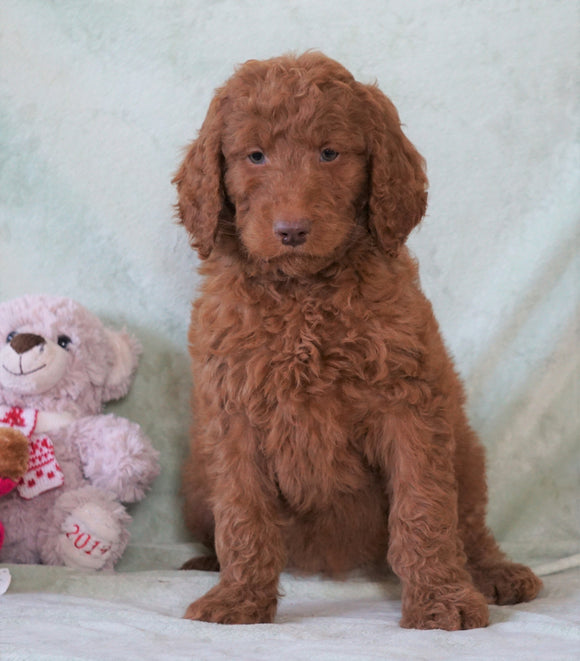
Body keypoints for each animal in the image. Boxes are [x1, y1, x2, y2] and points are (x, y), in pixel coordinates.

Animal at [174, 52, 540, 628]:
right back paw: (208, 561)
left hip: (466, 449)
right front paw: (239, 598)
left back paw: (494, 573)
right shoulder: (232, 416)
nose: (291, 230)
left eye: (330, 153)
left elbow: (424, 511)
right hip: (194, 477)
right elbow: (244, 515)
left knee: (470, 524)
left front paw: (440, 600)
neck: (304, 294)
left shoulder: (409, 406)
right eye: (255, 155)